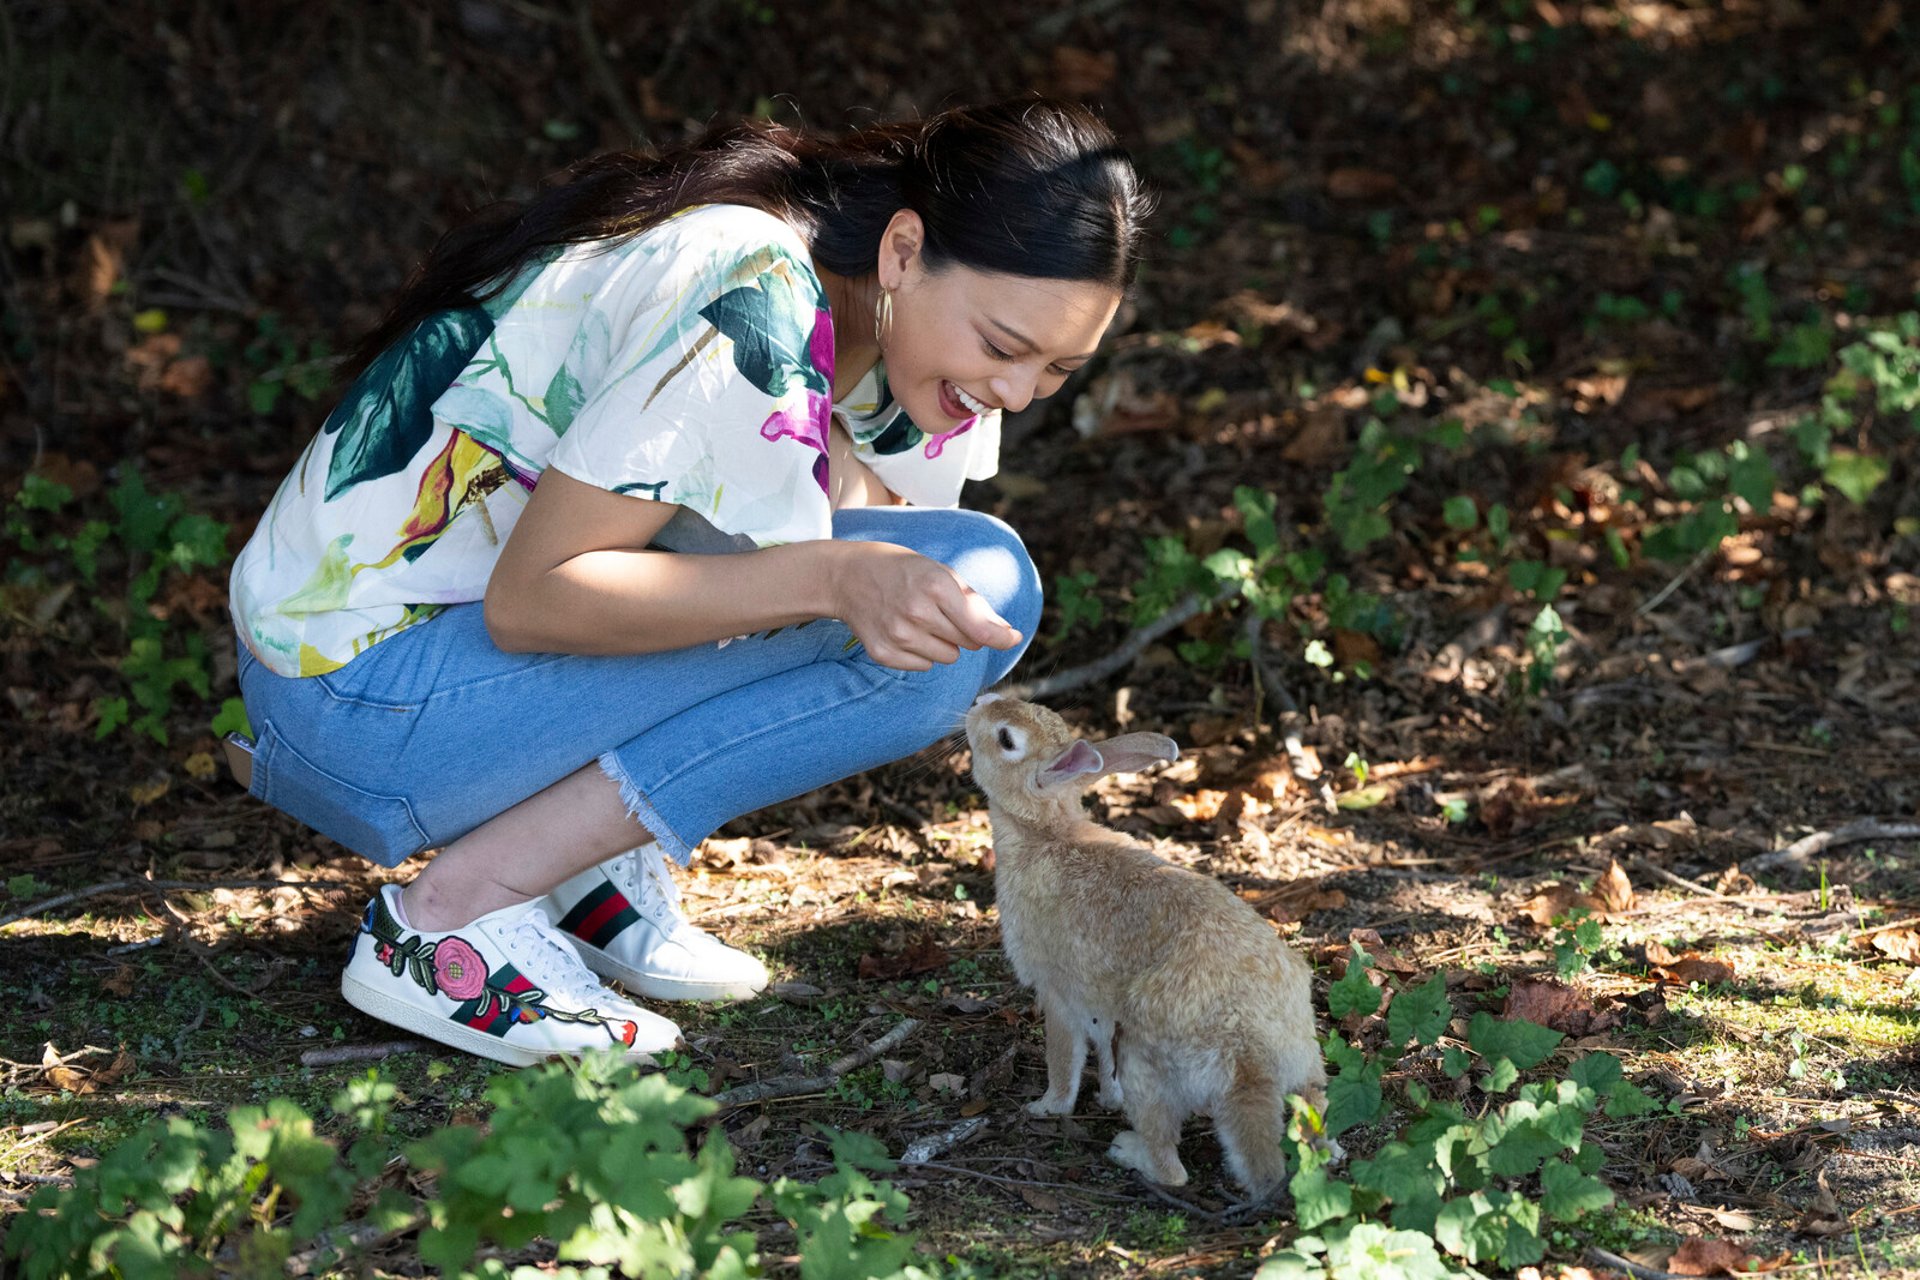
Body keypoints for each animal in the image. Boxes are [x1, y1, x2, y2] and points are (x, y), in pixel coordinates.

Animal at [967, 694, 1328, 1197]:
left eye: (1006, 739)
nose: (977, 702)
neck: (1046, 830)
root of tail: (1250, 1058)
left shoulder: (1058, 995)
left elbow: (1064, 1058)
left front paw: (1047, 1107)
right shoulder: (1098, 1006)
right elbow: (1100, 1052)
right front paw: (1107, 1097)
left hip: (1145, 1059)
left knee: (1173, 1167)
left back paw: (1129, 1151)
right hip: (1303, 1064)